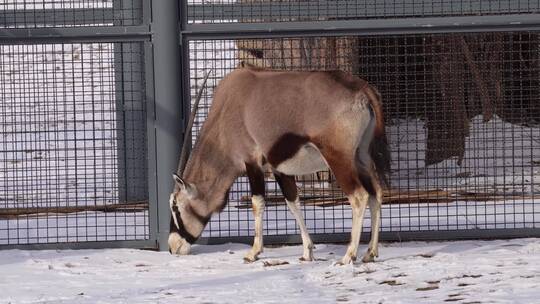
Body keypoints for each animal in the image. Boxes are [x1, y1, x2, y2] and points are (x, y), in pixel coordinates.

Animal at [169, 63, 388, 264]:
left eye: (176, 207)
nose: (173, 247)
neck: (225, 112)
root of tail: (360, 88)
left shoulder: (252, 163)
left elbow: (257, 203)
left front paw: (254, 252)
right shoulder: (279, 169)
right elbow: (293, 202)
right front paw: (307, 251)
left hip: (339, 158)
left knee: (359, 196)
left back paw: (348, 255)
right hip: (361, 156)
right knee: (376, 194)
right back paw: (370, 253)